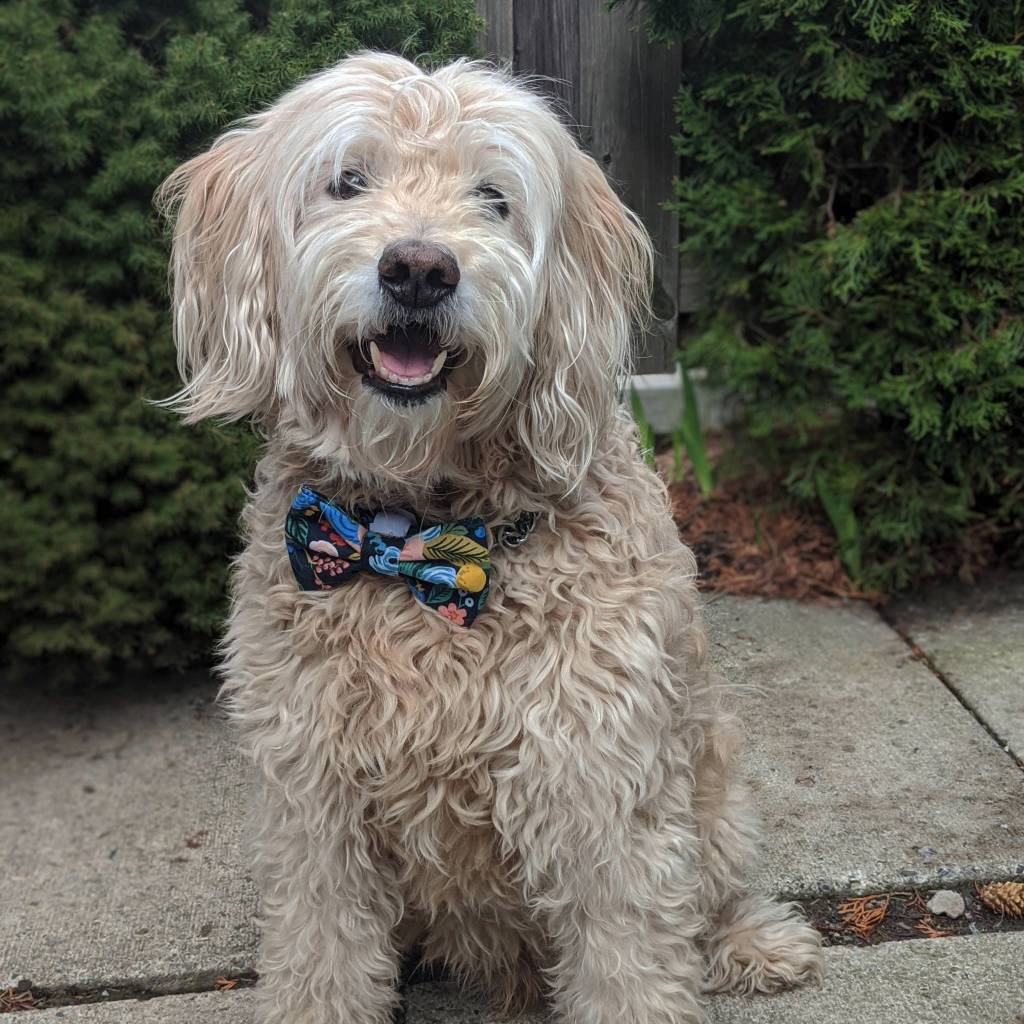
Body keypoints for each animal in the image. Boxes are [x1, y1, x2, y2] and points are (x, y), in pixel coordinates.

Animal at [159, 51, 822, 1024]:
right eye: (348, 180)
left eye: (493, 197)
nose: (419, 269)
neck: (419, 537)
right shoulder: (315, 802)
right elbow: (322, 953)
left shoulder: (600, 790)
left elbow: (631, 962)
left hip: (714, 790)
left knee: (717, 889)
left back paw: (755, 941)